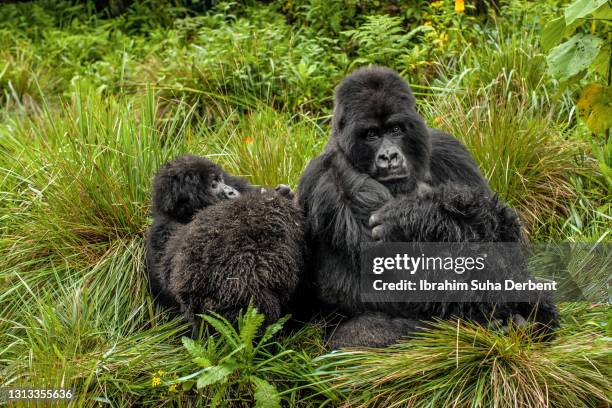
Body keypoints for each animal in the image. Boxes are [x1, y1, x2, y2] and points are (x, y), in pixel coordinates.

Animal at [144, 155, 306, 330]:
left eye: (220, 179)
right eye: (213, 185)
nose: (230, 191)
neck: (184, 214)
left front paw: (281, 193)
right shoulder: (162, 232)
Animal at [296, 67, 560, 348]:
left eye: (396, 129)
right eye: (371, 135)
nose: (389, 157)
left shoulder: (450, 150)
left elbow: (506, 235)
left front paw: (417, 218)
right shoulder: (335, 174)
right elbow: (401, 279)